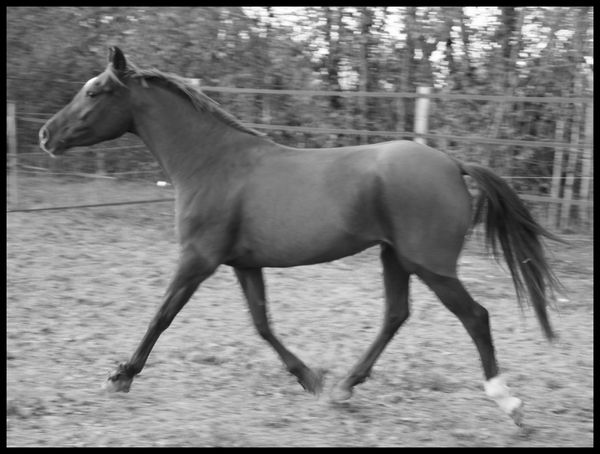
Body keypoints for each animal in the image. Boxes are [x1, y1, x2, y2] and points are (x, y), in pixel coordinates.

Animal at [39, 47, 562, 425]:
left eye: (93, 92)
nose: (46, 135)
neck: (212, 163)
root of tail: (452, 164)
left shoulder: (197, 259)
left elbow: (162, 317)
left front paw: (120, 376)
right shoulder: (244, 264)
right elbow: (262, 325)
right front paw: (311, 378)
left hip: (428, 263)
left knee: (475, 316)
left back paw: (508, 403)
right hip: (394, 257)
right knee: (396, 315)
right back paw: (344, 388)